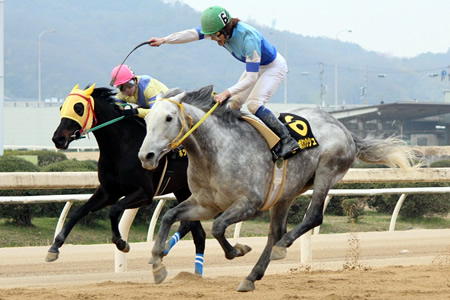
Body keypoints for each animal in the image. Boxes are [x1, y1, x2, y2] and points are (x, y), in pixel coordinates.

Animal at [49, 84, 206, 274]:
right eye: (61, 107)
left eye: (78, 108)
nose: (58, 138)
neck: (122, 146)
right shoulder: (109, 191)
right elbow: (79, 211)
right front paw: (55, 246)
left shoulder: (144, 193)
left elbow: (114, 210)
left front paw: (121, 242)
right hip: (183, 190)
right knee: (197, 233)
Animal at [138, 85, 418, 292]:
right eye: (147, 118)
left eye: (169, 118)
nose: (146, 156)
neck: (216, 151)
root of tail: (344, 128)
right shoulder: (205, 204)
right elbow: (169, 215)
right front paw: (157, 263)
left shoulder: (249, 203)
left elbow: (217, 227)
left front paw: (238, 249)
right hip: (285, 193)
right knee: (275, 232)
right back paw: (252, 276)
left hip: (326, 172)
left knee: (312, 217)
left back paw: (282, 247)